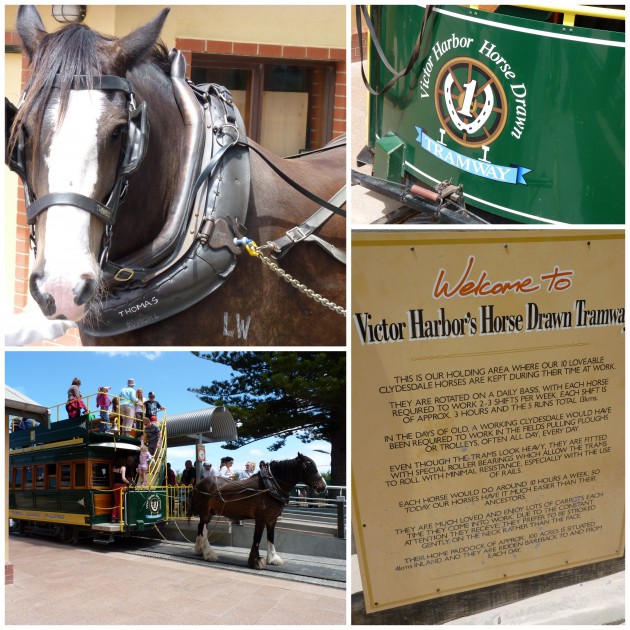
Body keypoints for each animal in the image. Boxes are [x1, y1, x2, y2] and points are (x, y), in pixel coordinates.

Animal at [190, 454, 328, 572]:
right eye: (308, 466)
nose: (323, 486)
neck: (270, 486)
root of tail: (198, 484)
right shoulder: (261, 519)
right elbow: (257, 538)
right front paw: (255, 561)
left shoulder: (272, 519)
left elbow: (271, 537)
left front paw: (273, 558)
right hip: (205, 512)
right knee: (203, 528)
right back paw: (208, 553)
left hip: (210, 513)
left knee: (201, 527)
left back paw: (199, 549)